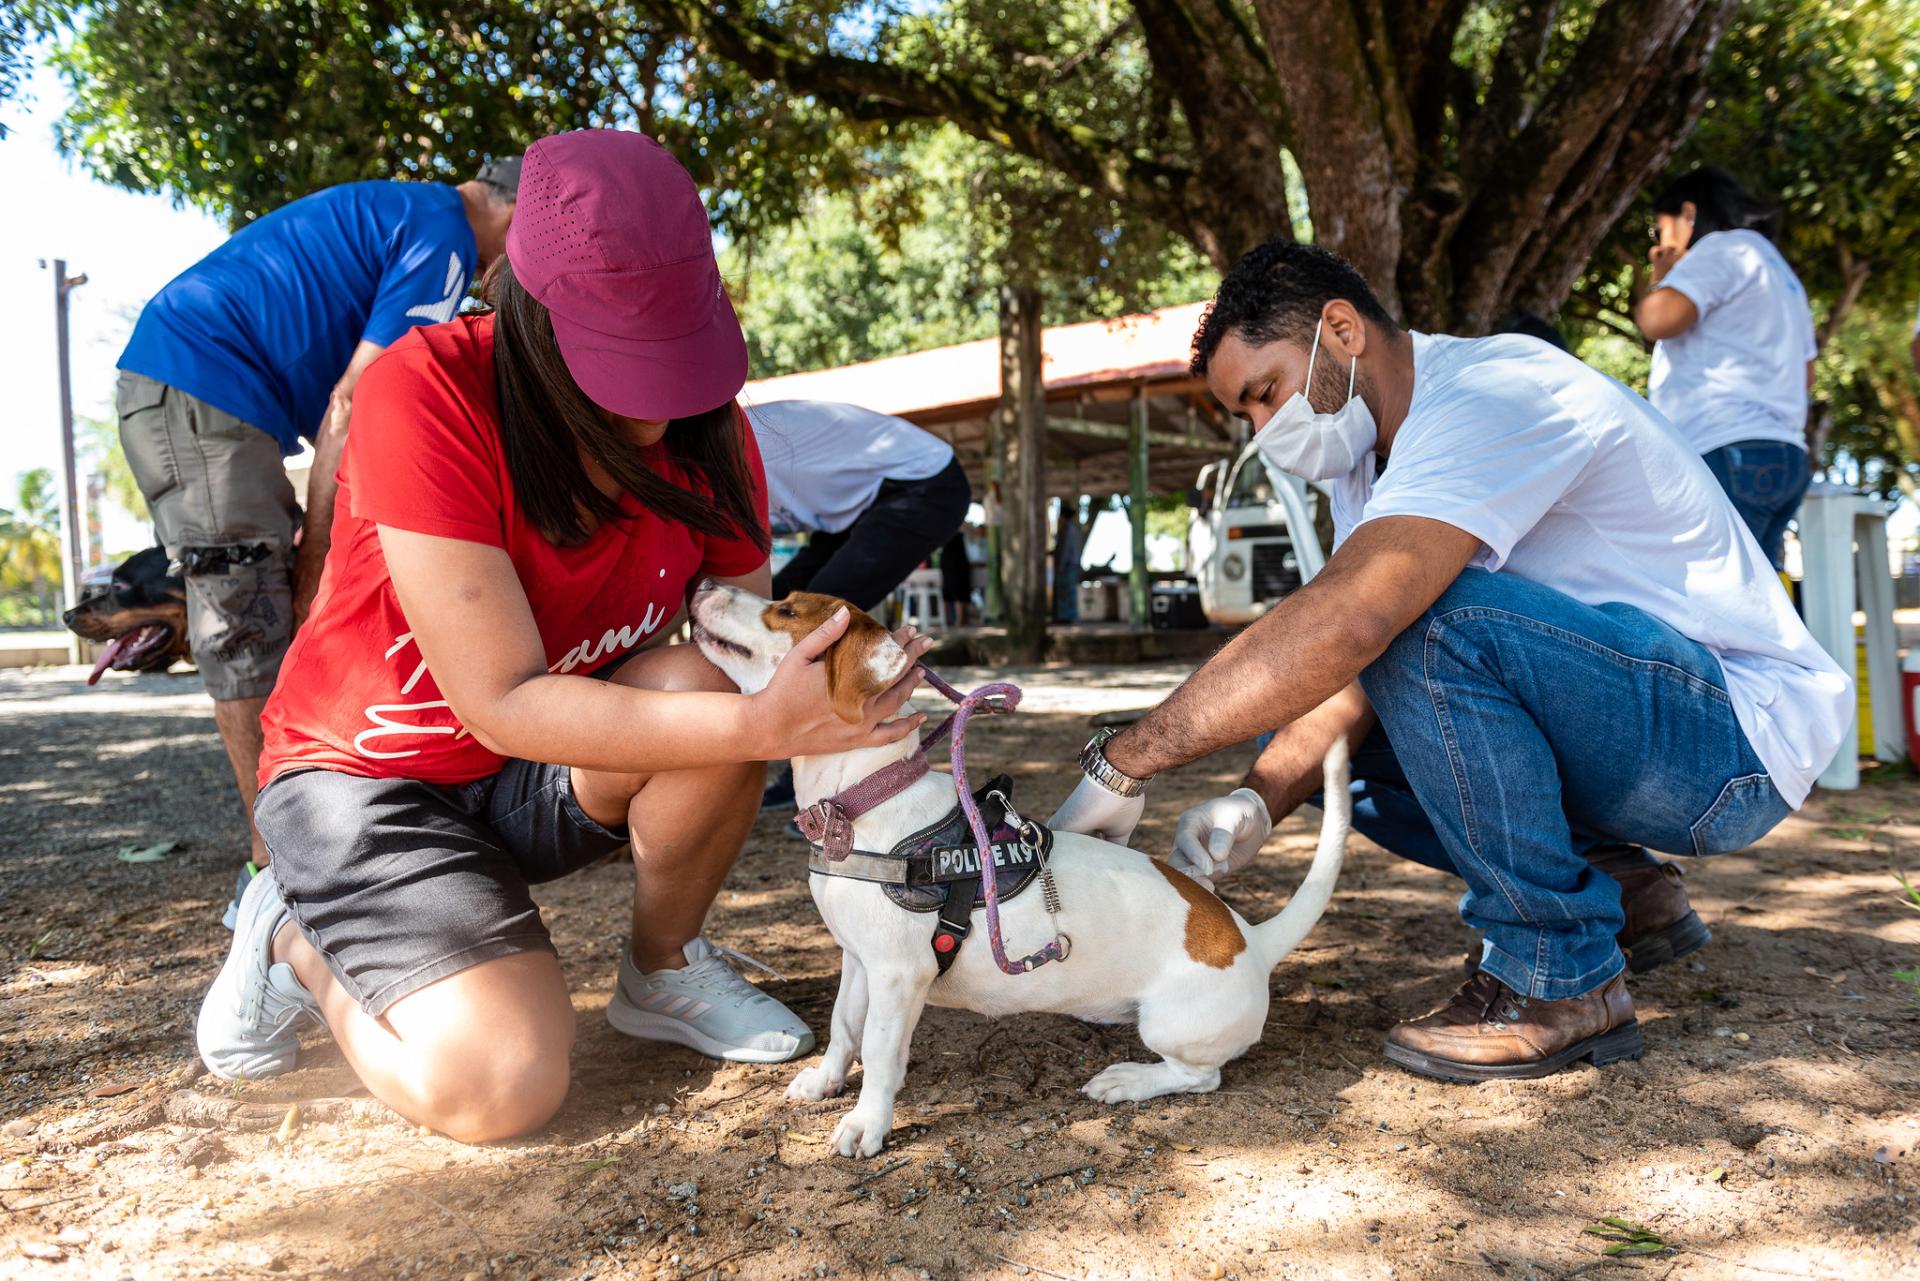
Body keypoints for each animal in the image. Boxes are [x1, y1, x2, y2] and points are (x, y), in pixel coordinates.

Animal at [695, 587, 1351, 1160]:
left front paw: (866, 1124)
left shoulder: (897, 976)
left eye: (786, 609)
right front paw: (825, 1082)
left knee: (1201, 1076)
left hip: (1170, 1027)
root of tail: (1252, 940)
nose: (701, 585)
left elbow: (879, 1054)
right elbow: (842, 1027)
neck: (862, 804)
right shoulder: (858, 961)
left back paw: (1128, 1081)